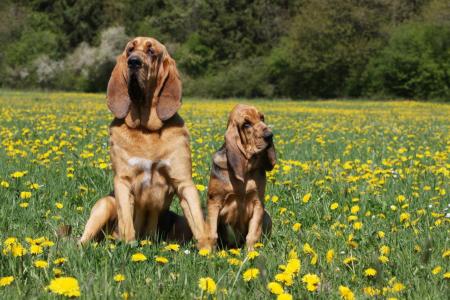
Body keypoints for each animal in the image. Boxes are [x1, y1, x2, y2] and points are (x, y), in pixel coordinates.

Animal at [78, 37, 209, 248]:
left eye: (151, 51)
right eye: (129, 50)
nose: (133, 62)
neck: (147, 130)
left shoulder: (184, 183)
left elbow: (199, 223)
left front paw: (208, 251)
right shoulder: (123, 181)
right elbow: (126, 222)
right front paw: (129, 246)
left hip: (179, 221)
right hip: (105, 204)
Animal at [207, 104, 274, 250]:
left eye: (262, 118)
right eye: (246, 124)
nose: (270, 135)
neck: (246, 168)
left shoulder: (258, 203)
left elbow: (253, 234)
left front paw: (251, 252)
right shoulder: (214, 202)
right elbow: (211, 233)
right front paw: (207, 252)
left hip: (266, 215)